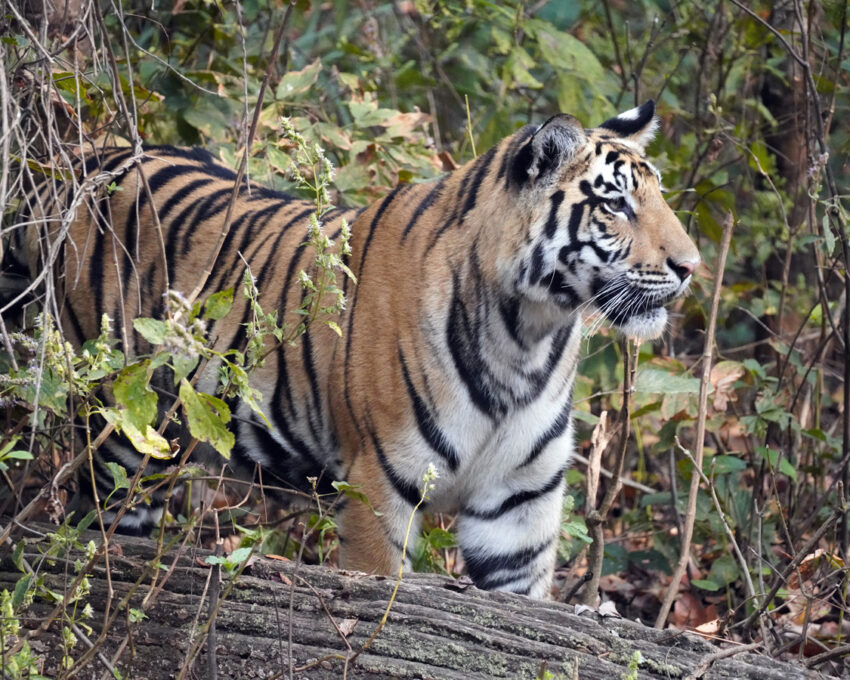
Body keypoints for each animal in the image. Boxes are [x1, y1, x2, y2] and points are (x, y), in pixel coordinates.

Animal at [7, 100, 699, 599]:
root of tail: (76, 158)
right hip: (120, 439)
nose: (691, 267)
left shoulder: (520, 510)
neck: (527, 335)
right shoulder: (380, 487)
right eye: (615, 203)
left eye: (658, 197)